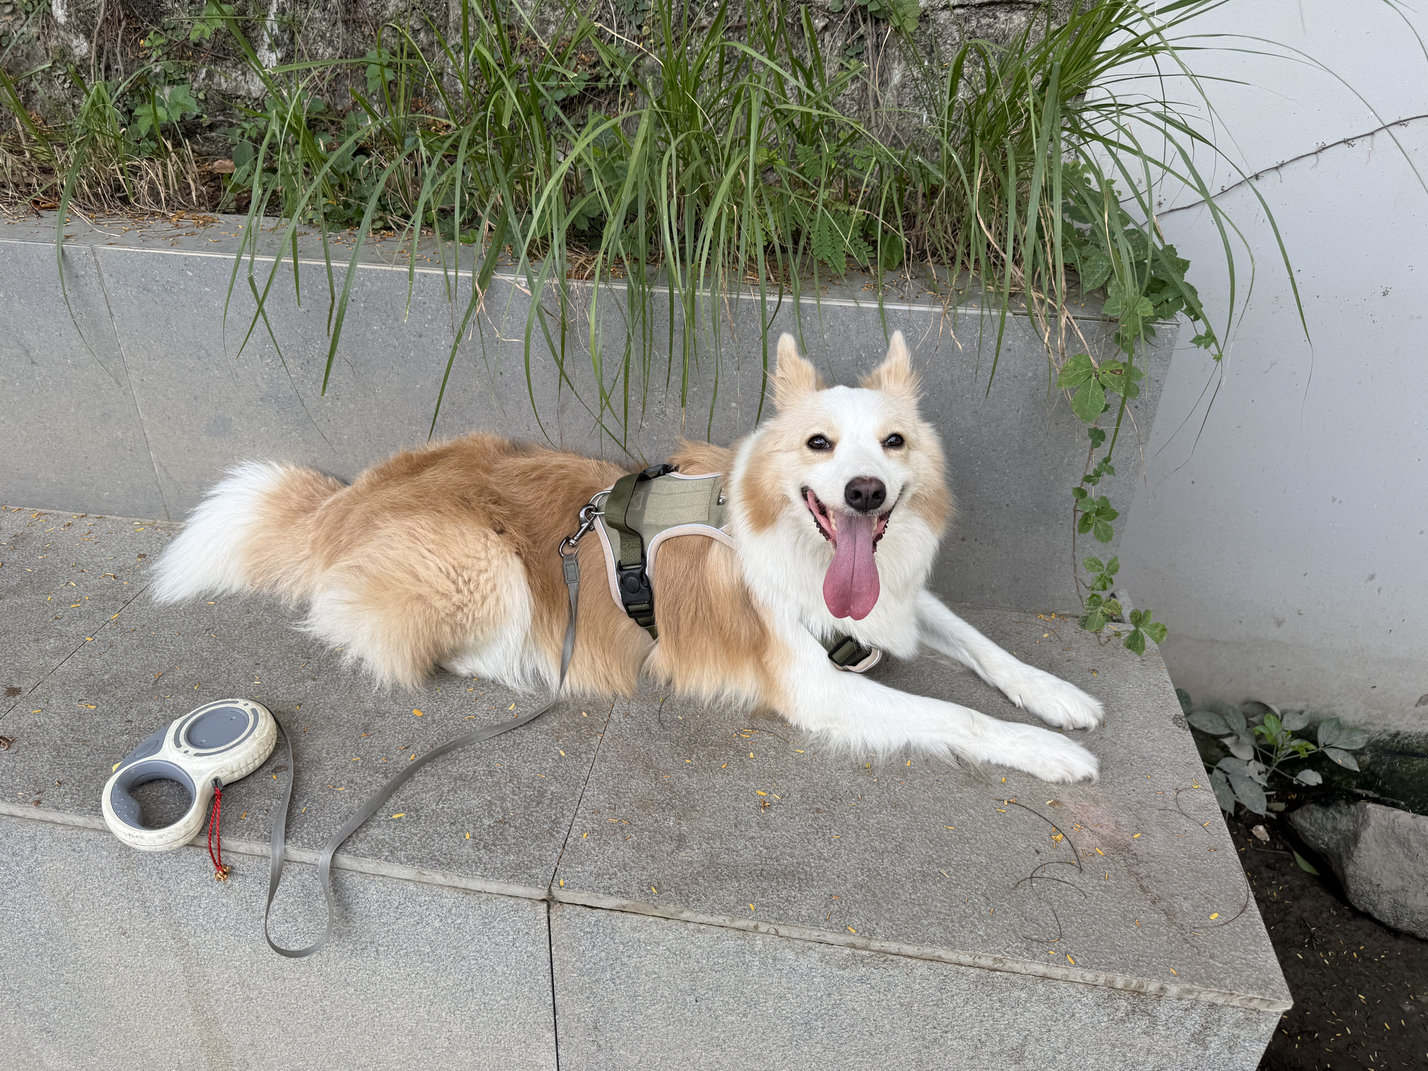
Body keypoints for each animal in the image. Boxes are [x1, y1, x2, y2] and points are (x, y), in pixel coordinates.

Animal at [151, 332, 1102, 782]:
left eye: (894, 442)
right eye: (820, 444)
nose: (865, 492)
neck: (793, 543)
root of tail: (343, 499)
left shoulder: (895, 600)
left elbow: (984, 645)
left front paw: (1060, 698)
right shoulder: (818, 686)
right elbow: (956, 716)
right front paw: (1045, 751)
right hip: (487, 567)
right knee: (395, 640)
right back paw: (534, 660)